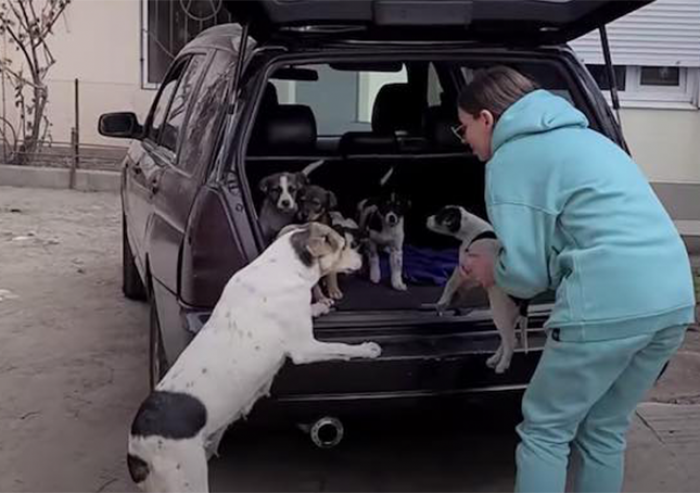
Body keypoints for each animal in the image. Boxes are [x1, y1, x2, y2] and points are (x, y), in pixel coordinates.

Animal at [129, 224, 386, 492]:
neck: (283, 266)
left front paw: (321, 306)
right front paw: (367, 349)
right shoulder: (305, 348)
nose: (363, 258)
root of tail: (136, 448)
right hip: (187, 478)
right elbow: (342, 347)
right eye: (344, 246)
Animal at [426, 205, 532, 372]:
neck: (472, 228)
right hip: (511, 315)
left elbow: (450, 284)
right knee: (505, 339)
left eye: (439, 217)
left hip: (500, 312)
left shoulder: (462, 266)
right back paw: (494, 359)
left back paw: (502, 365)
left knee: (511, 341)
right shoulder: (469, 273)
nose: (427, 219)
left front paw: (442, 302)